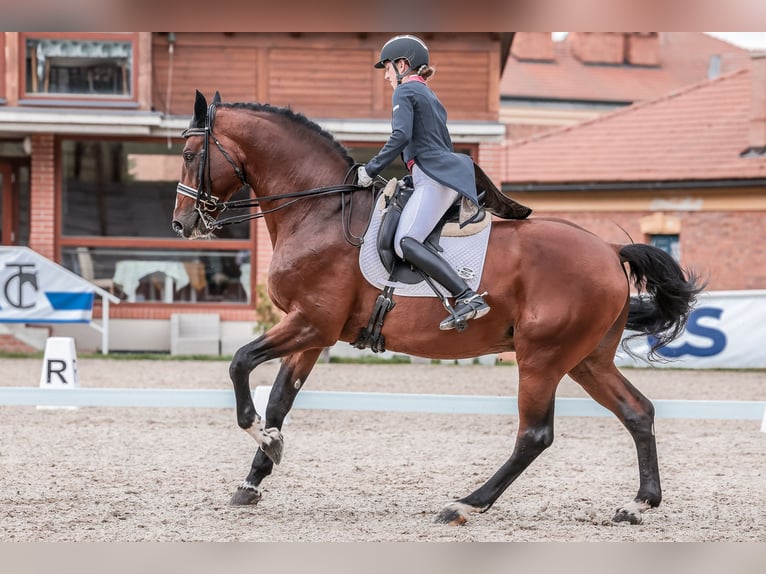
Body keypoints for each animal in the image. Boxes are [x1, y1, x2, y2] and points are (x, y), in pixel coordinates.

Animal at [172, 92, 704, 528]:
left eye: (190, 155)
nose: (182, 224)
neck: (318, 212)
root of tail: (611, 250)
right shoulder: (313, 333)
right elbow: (281, 401)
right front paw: (256, 474)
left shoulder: (309, 323)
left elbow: (240, 363)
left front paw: (259, 437)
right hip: (586, 359)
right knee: (637, 411)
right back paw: (638, 504)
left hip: (542, 357)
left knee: (535, 434)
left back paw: (466, 503)